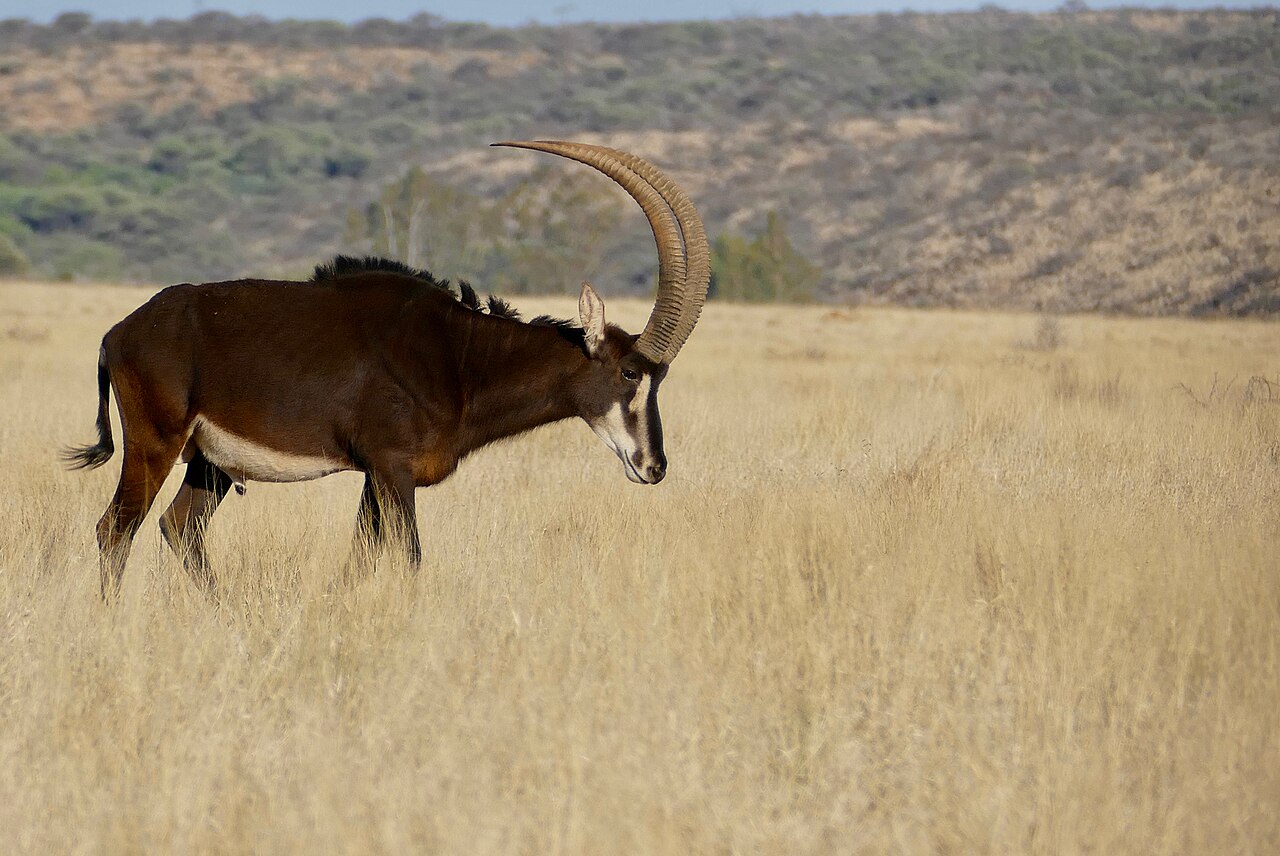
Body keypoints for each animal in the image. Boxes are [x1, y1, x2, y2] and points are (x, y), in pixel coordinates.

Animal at [64, 141, 710, 597]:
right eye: (630, 373)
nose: (654, 467)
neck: (460, 357)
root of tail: (118, 333)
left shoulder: (377, 477)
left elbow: (361, 560)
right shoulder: (392, 470)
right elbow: (409, 560)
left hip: (211, 463)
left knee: (180, 529)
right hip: (155, 443)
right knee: (116, 529)